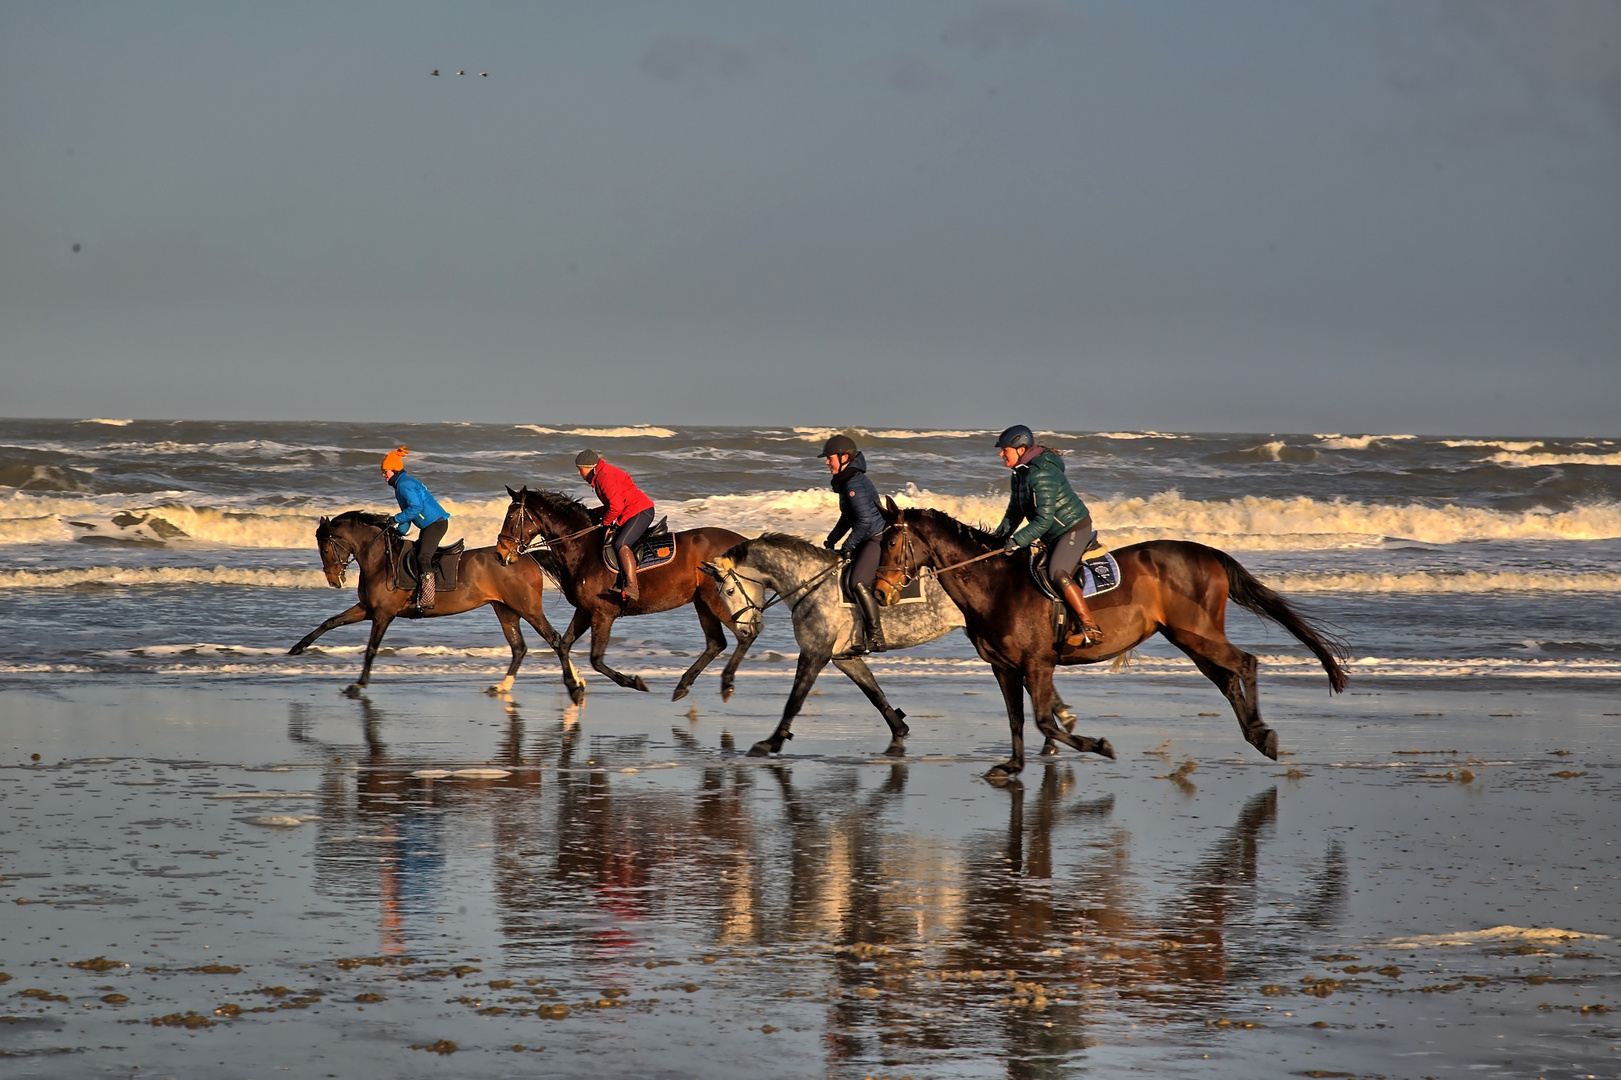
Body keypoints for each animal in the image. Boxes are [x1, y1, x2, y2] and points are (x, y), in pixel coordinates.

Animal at [291, 509, 577, 694]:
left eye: (325, 548)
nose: (333, 580)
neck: (380, 562)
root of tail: (525, 557)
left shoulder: (383, 614)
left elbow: (371, 648)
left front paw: (358, 683)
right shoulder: (367, 609)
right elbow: (330, 622)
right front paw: (297, 647)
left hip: (527, 607)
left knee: (555, 639)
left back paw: (574, 682)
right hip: (505, 609)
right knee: (519, 647)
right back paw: (502, 687)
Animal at [492, 483, 758, 703]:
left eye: (511, 516)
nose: (499, 554)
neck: (582, 548)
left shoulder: (602, 613)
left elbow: (596, 659)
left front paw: (633, 682)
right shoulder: (585, 611)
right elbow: (563, 645)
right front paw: (574, 687)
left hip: (720, 599)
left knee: (745, 636)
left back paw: (726, 683)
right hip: (703, 601)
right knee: (716, 643)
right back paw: (683, 685)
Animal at [703, 531, 1082, 752]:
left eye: (730, 590)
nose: (747, 631)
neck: (811, 583)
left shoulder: (815, 652)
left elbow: (794, 700)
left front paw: (772, 742)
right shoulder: (844, 656)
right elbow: (874, 693)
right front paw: (899, 727)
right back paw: (1060, 722)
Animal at [881, 499, 1348, 778]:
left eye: (889, 543)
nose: (883, 592)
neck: (995, 585)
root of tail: (1208, 553)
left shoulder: (1038, 664)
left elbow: (1044, 720)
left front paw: (1099, 745)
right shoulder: (1004, 667)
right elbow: (1016, 719)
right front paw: (1012, 766)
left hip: (1196, 633)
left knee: (1245, 663)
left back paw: (1263, 736)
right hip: (1188, 639)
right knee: (1227, 678)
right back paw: (1254, 735)